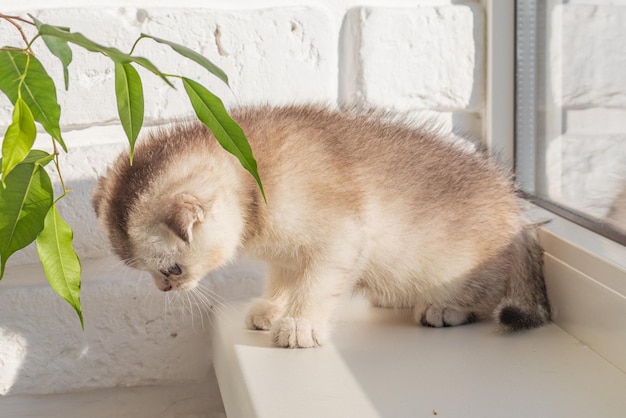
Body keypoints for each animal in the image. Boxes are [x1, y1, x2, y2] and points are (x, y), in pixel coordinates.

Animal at [91, 105, 544, 350]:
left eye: (172, 270)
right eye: (152, 274)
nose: (165, 289)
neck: (255, 173)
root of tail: (516, 210)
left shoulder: (342, 236)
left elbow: (315, 283)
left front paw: (299, 324)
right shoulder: (285, 250)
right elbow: (284, 276)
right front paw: (273, 308)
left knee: (486, 296)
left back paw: (445, 308)